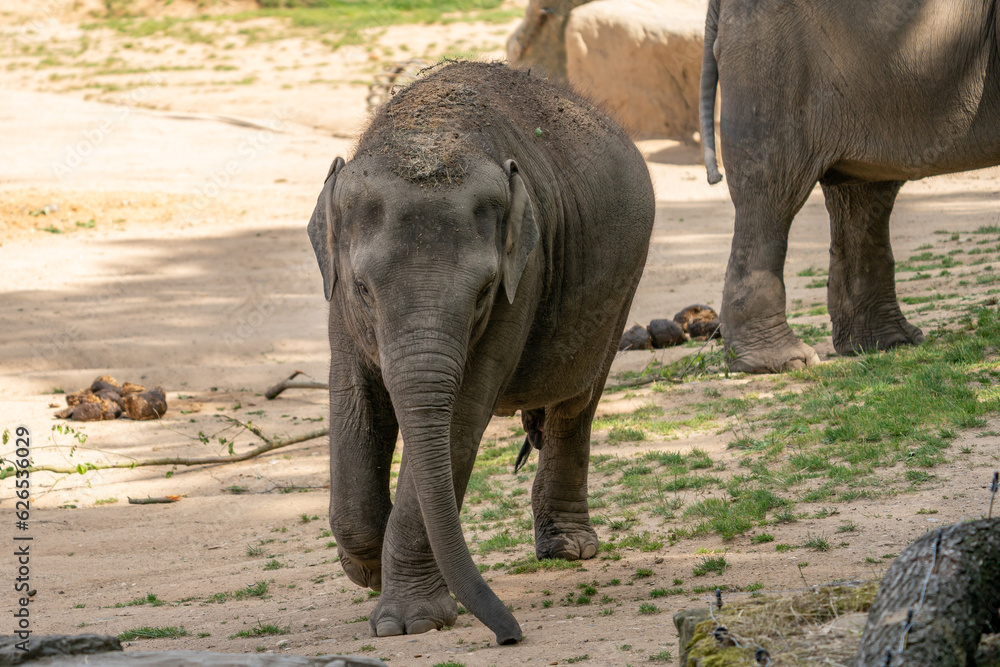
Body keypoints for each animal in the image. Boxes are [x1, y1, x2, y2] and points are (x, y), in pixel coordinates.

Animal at [307, 61, 655, 644]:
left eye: (485, 291)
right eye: (362, 289)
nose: (510, 635)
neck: (428, 131)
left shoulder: (525, 275)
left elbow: (461, 417)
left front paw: (409, 621)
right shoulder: (337, 301)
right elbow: (355, 397)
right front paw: (366, 571)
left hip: (624, 283)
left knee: (576, 401)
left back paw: (569, 549)